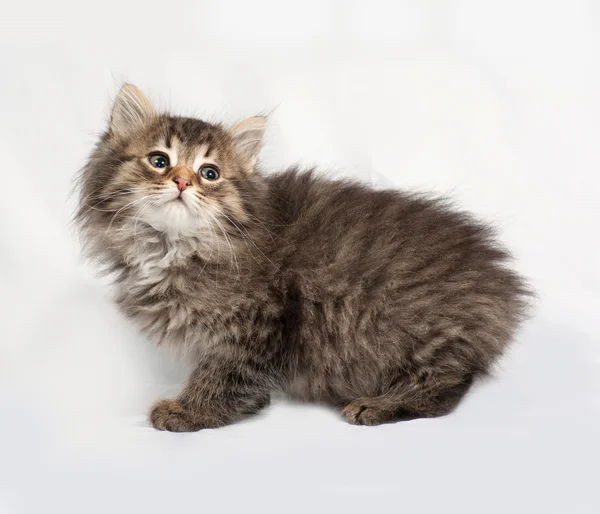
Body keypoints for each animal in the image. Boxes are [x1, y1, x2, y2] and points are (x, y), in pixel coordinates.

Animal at [75, 83, 528, 428]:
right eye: (159, 161)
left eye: (209, 173)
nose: (183, 182)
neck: (174, 247)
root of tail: (501, 280)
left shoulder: (257, 323)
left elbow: (224, 376)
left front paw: (191, 411)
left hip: (419, 332)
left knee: (444, 389)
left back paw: (379, 404)